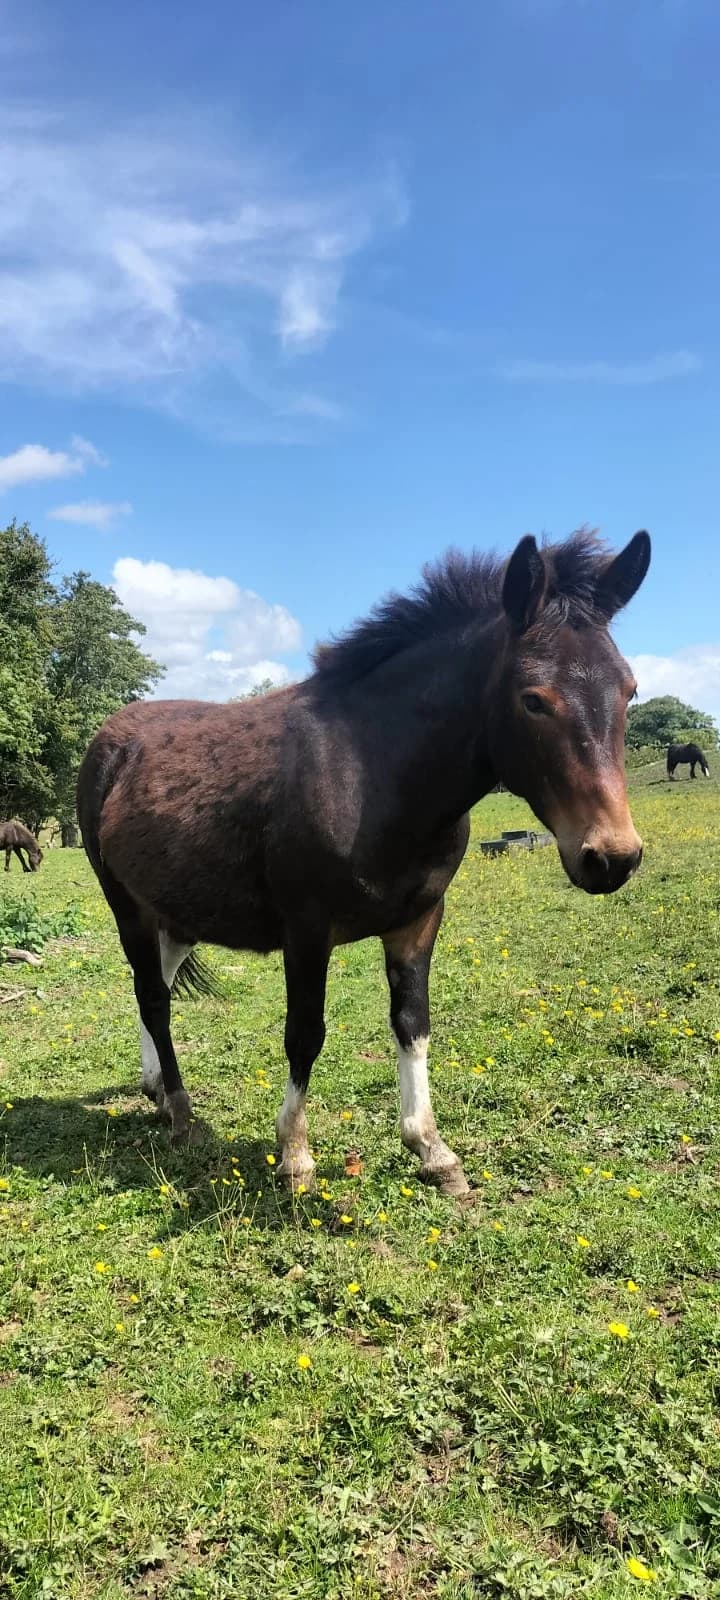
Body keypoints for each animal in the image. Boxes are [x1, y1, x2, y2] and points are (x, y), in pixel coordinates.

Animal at [77, 526, 651, 1196]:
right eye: (534, 700)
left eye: (629, 690)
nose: (611, 857)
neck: (373, 774)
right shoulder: (306, 930)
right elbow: (304, 1033)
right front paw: (295, 1157)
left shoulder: (418, 921)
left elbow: (413, 1022)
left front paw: (433, 1150)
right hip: (127, 906)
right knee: (152, 996)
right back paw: (181, 1112)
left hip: (177, 911)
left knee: (157, 987)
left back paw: (157, 1091)